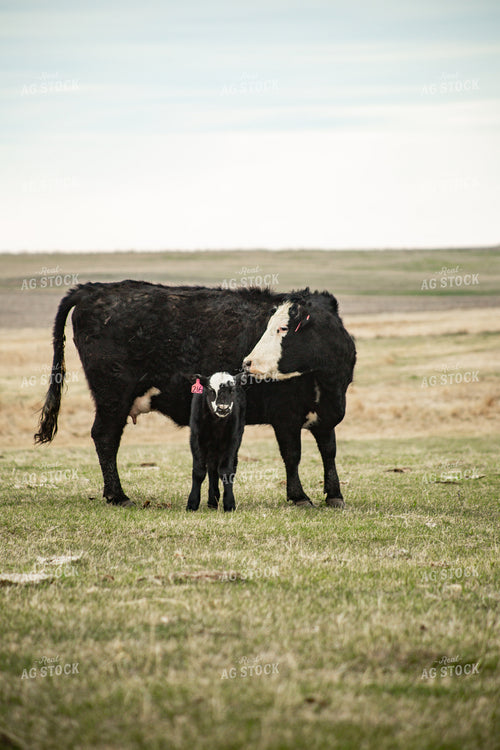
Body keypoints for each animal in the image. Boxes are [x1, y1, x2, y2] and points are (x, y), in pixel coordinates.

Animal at [185, 372, 246, 513]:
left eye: (232, 390)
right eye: (211, 390)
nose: (223, 408)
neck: (216, 424)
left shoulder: (232, 440)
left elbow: (226, 471)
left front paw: (229, 504)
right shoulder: (196, 439)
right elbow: (199, 471)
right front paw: (192, 503)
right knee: (212, 469)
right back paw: (212, 501)